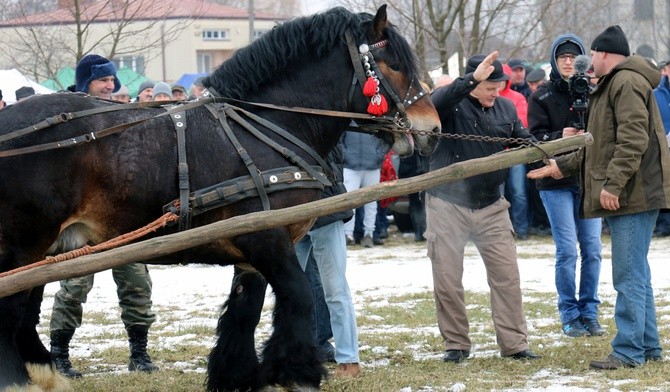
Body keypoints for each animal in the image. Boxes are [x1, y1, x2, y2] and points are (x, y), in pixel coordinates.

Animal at [0, 6, 444, 392]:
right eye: (393, 64)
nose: (433, 129)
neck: (267, 124)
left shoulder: (252, 248)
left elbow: (245, 312)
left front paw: (238, 375)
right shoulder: (269, 241)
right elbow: (299, 296)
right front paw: (298, 372)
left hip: (46, 250)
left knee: (25, 312)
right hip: (25, 245)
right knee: (12, 309)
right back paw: (19, 380)